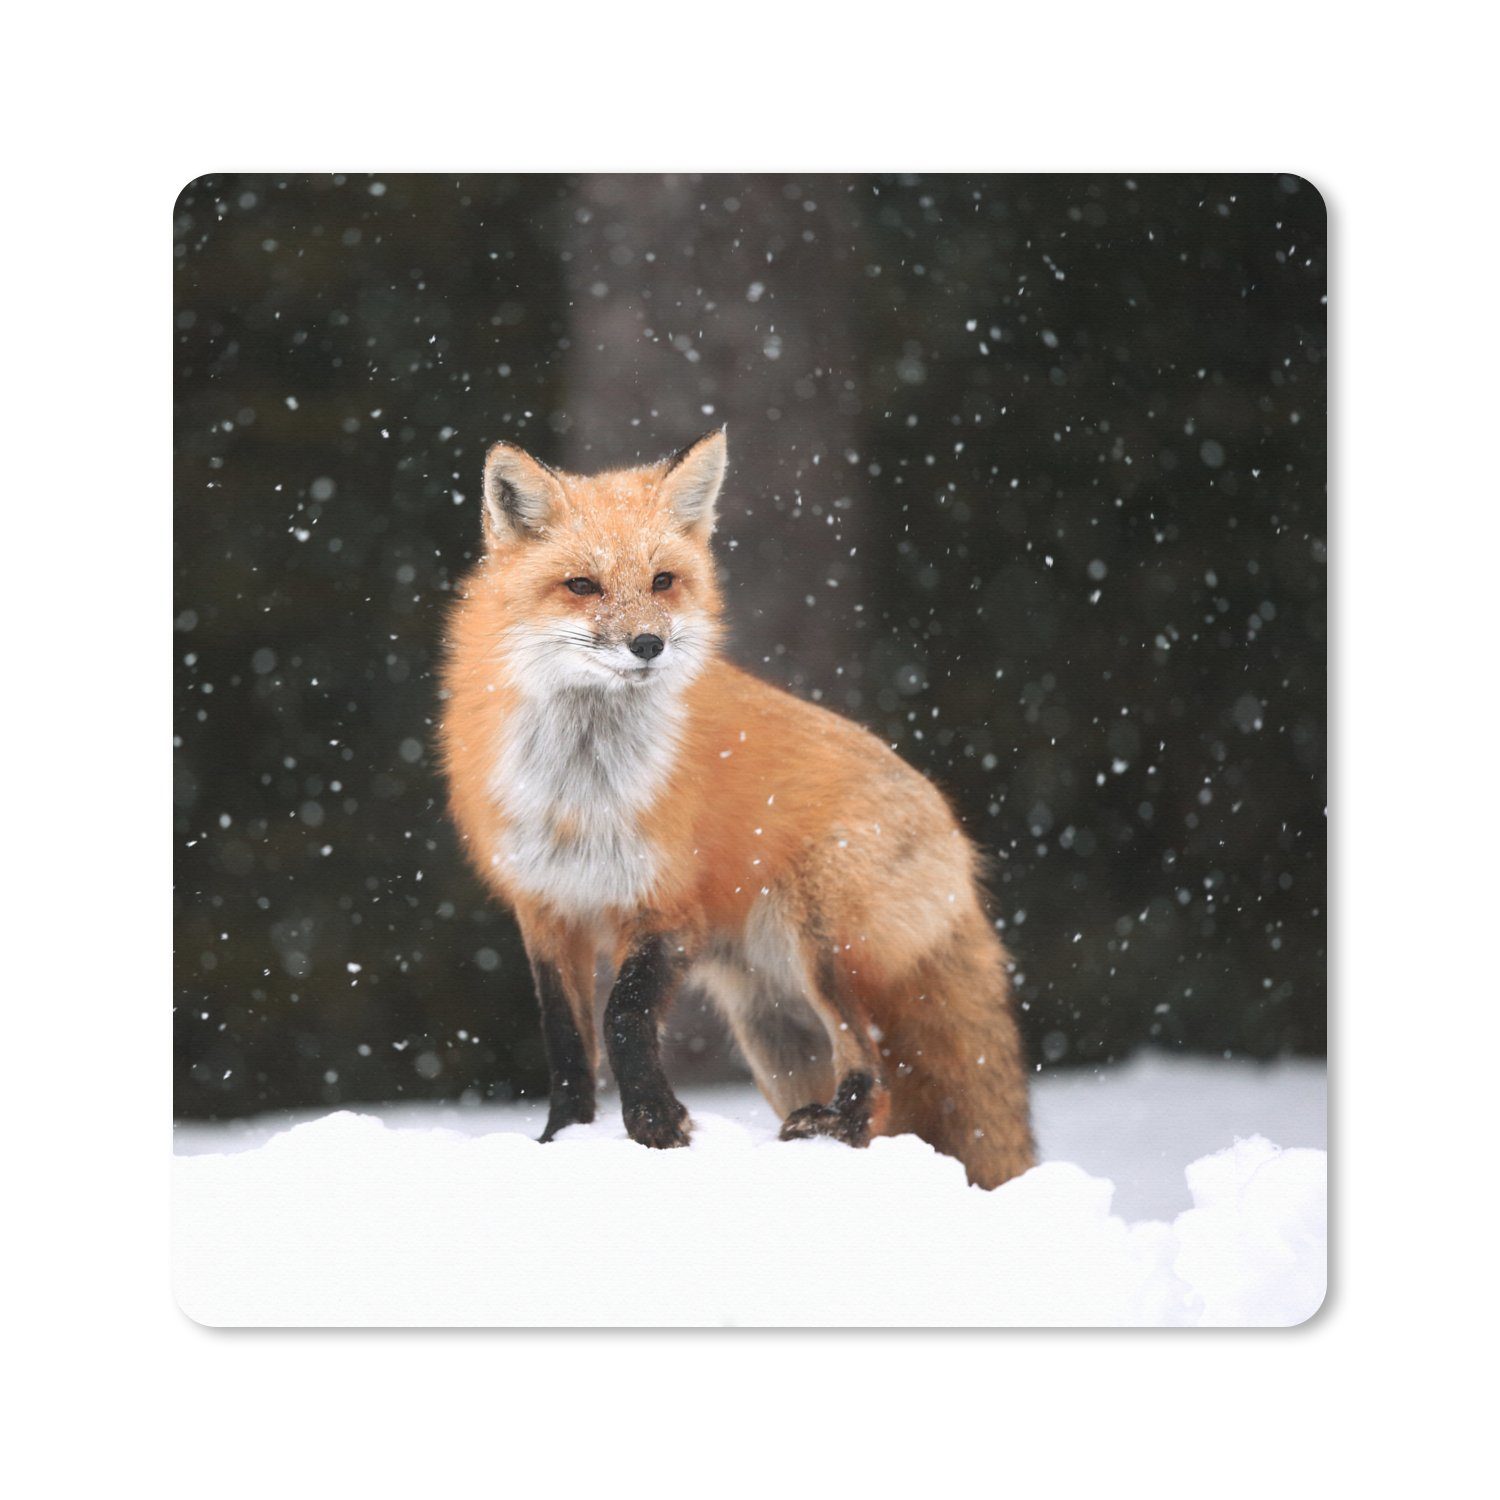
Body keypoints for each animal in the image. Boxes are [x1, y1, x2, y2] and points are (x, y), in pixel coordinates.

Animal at [438, 427, 1035, 1188]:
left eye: (663, 581)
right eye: (582, 585)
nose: (649, 645)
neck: (583, 793)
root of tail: (962, 846)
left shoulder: (666, 908)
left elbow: (623, 1018)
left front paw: (656, 1125)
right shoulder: (547, 909)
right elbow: (567, 1043)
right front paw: (562, 1138)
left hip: (821, 947)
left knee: (872, 1067)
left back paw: (831, 1123)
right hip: (775, 1028)